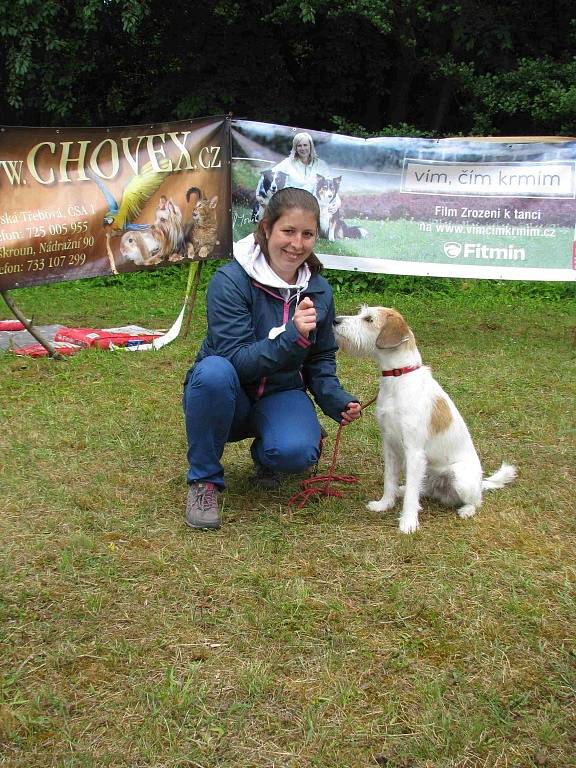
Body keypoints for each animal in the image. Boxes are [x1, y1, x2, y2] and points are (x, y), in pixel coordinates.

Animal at [332, 306, 516, 536]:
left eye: (369, 319)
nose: (335, 321)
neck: (398, 377)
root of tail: (481, 482)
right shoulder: (389, 445)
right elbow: (389, 479)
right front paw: (384, 504)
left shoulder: (414, 450)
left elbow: (412, 494)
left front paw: (408, 523)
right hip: (427, 473)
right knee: (421, 489)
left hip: (460, 478)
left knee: (475, 501)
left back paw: (466, 510)